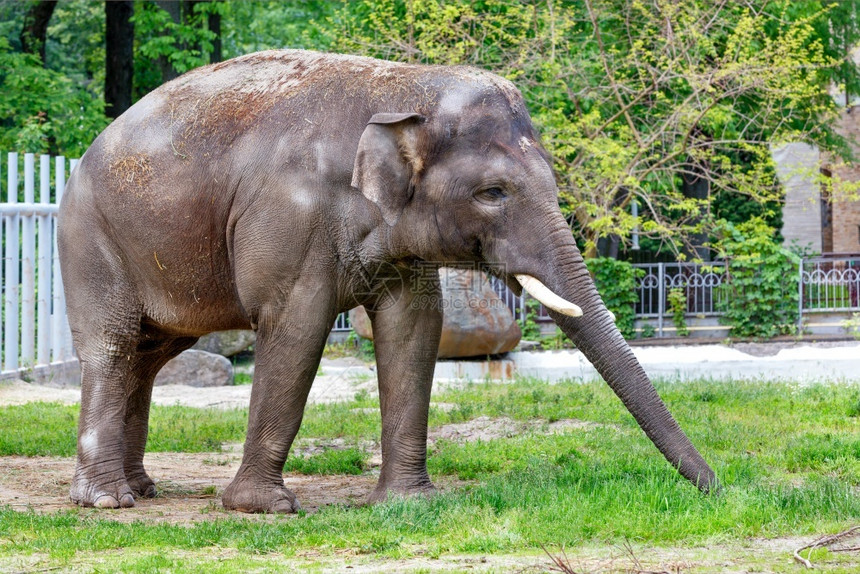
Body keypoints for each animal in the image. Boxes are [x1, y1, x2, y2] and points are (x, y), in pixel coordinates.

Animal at [58, 49, 720, 512]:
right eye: (492, 193)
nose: (719, 488)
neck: (408, 86)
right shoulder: (290, 216)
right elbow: (296, 327)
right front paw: (264, 508)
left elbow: (414, 329)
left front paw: (408, 503)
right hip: (90, 239)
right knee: (114, 347)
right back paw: (108, 501)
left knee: (151, 354)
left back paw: (143, 489)